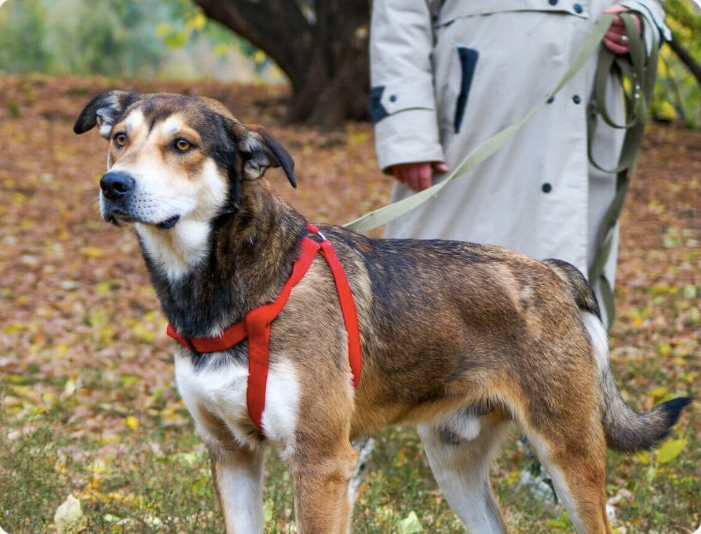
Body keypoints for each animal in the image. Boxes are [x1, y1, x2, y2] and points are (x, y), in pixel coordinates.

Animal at [75, 90, 688, 532]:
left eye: (183, 145)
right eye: (120, 139)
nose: (113, 184)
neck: (226, 289)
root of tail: (554, 271)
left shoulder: (321, 463)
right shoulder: (232, 457)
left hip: (568, 455)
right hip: (454, 464)